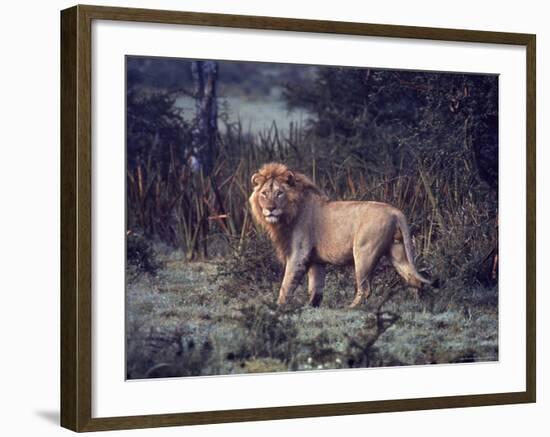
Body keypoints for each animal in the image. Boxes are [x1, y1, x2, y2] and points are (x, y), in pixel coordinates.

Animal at [250, 162, 436, 308]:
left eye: (279, 193)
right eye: (264, 193)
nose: (270, 208)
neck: (288, 215)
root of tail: (395, 211)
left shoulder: (298, 254)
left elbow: (286, 284)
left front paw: (278, 308)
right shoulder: (316, 260)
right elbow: (316, 288)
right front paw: (312, 308)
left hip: (363, 253)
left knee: (365, 289)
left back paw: (351, 308)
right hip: (397, 250)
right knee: (414, 280)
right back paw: (418, 305)